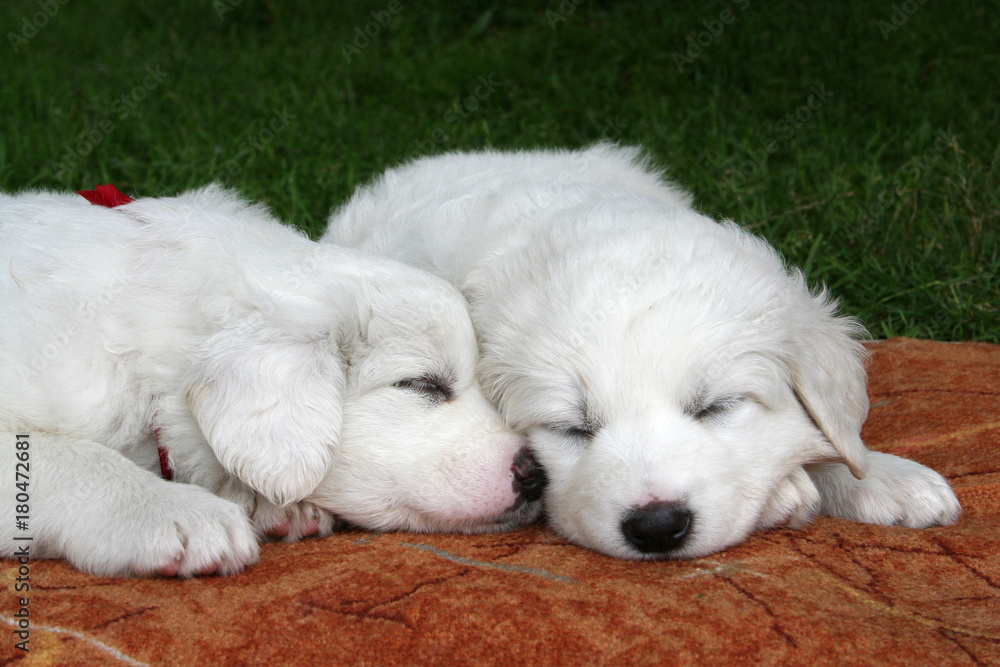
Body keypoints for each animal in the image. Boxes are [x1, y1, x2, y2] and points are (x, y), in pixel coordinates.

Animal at [322, 144, 960, 560]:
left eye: (716, 407)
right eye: (573, 429)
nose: (657, 526)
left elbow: (836, 438)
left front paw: (885, 478)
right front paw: (792, 491)